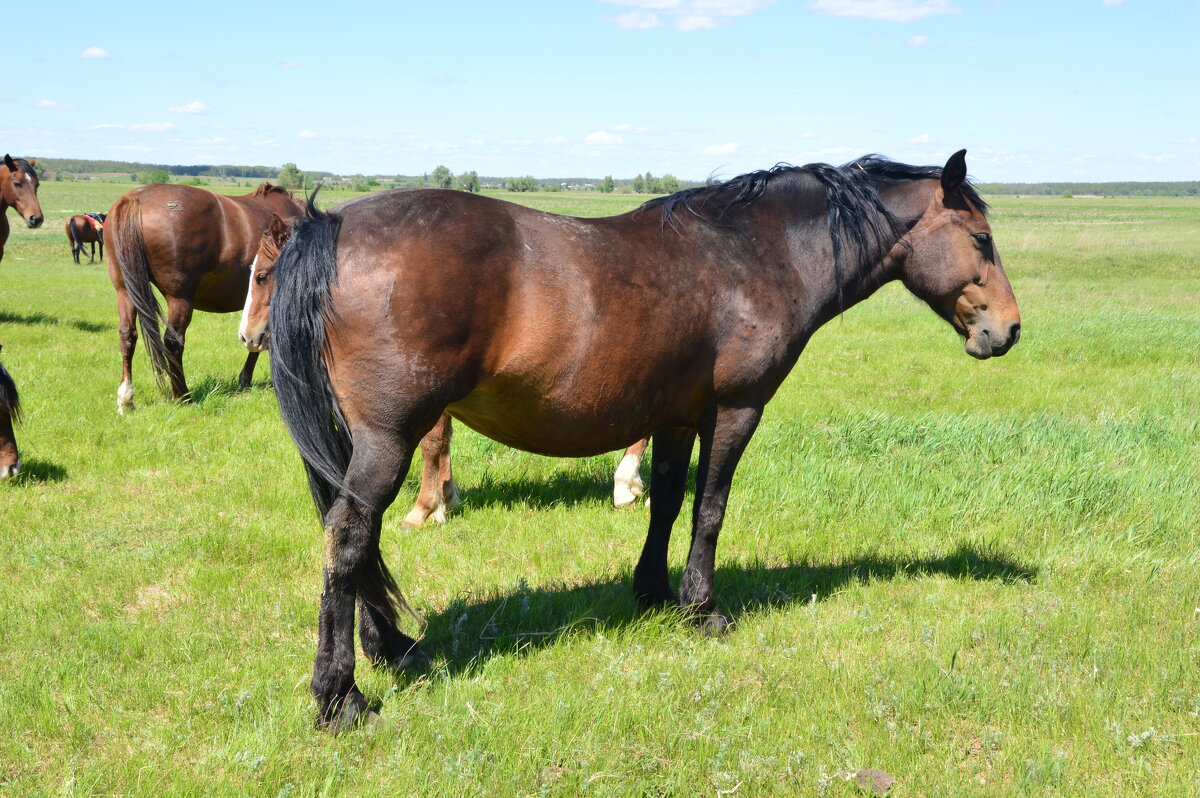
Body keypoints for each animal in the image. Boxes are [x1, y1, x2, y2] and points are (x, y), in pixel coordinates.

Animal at [104, 180, 304, 410]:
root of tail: (134, 197)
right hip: (179, 298)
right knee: (172, 341)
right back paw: (183, 396)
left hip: (124, 290)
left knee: (127, 334)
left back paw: (126, 398)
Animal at [238, 213, 652, 523]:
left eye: (262, 276)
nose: (246, 336)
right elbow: (443, 443)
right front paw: (446, 499)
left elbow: (432, 444)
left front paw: (424, 509)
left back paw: (625, 485)